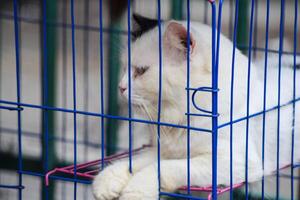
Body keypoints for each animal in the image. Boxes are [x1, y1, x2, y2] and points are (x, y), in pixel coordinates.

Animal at [92, 14, 298, 200]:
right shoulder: (164, 150)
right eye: (124, 68)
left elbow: (162, 168)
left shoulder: (234, 161)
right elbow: (134, 161)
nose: (120, 87)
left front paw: (136, 191)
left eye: (142, 71)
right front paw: (106, 181)